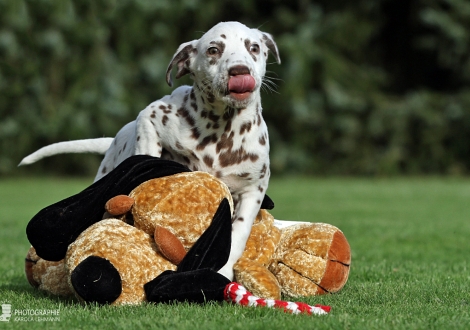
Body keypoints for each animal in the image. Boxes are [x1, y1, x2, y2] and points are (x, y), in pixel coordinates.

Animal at [20, 21, 280, 282]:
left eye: (254, 48)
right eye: (214, 50)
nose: (240, 71)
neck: (223, 131)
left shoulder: (253, 190)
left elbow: (237, 235)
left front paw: (223, 272)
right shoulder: (151, 116)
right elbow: (148, 148)